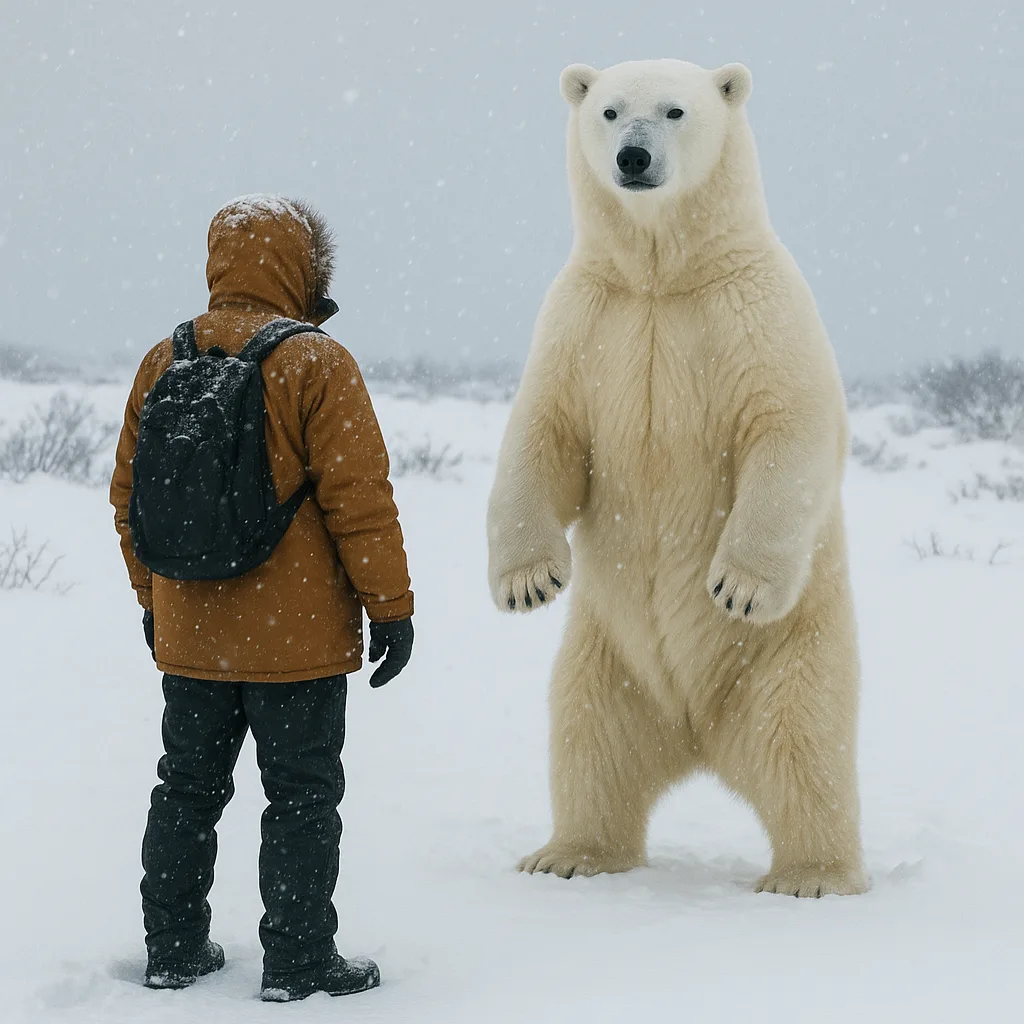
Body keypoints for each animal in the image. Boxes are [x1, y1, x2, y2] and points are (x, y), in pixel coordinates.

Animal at [486, 59, 867, 898]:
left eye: (674, 111)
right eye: (608, 110)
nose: (633, 157)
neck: (664, 277)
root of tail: (697, 734)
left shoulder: (754, 311)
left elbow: (788, 429)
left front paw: (738, 585)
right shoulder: (585, 318)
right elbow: (542, 434)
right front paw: (527, 582)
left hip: (792, 650)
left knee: (805, 744)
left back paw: (811, 874)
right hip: (608, 658)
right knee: (587, 738)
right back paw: (568, 854)